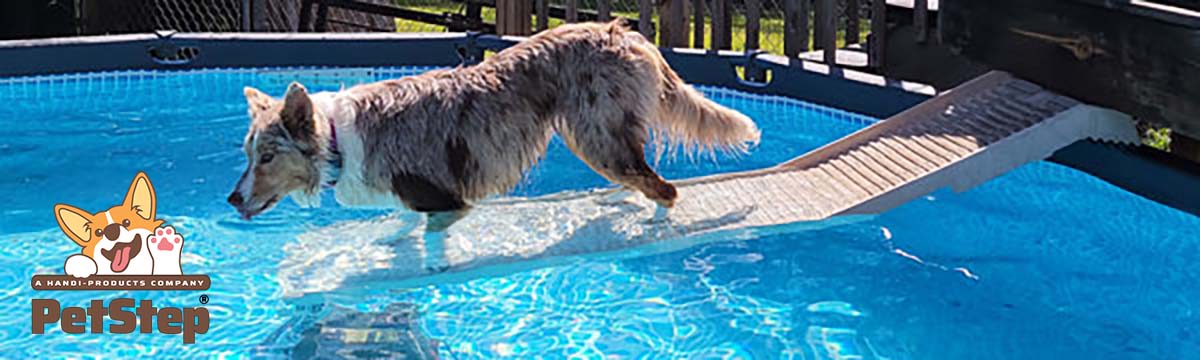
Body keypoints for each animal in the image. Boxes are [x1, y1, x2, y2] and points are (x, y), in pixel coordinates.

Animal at [225, 21, 758, 220]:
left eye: (267, 157)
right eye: (249, 155)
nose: (230, 199)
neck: (337, 138)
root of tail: (622, 32)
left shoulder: (444, 201)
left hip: (595, 136)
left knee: (663, 188)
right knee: (644, 177)